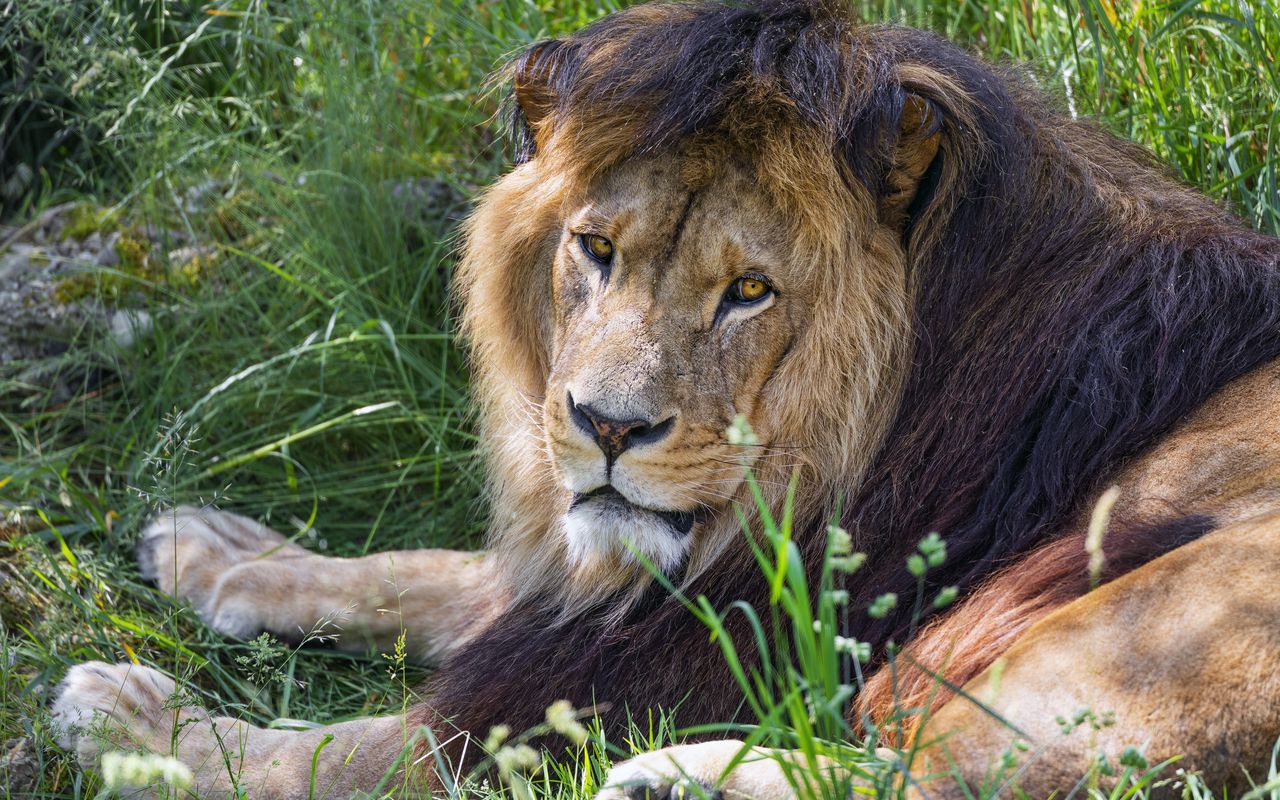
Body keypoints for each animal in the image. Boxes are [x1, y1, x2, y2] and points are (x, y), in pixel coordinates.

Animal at [52, 1, 1280, 797]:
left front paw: (143, 723)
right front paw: (222, 553)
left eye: (749, 291)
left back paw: (675, 781)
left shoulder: (677, 656)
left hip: (1164, 624)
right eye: (595, 249)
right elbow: (426, 572)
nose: (606, 427)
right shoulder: (606, 585)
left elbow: (345, 755)